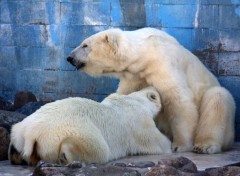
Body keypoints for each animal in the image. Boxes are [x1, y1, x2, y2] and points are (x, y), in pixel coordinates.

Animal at [8, 87, 171, 166]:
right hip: (74, 128)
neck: (134, 100)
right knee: (98, 149)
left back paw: (15, 155)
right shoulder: (140, 123)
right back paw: (66, 155)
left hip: (19, 131)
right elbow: (158, 143)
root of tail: (32, 133)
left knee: (14, 139)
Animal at [67, 27, 236, 154]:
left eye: (85, 45)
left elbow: (179, 100)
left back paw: (204, 145)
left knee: (217, 97)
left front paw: (180, 145)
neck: (144, 53)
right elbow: (126, 94)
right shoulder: (135, 76)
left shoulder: (162, 64)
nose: (69, 57)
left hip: (224, 120)